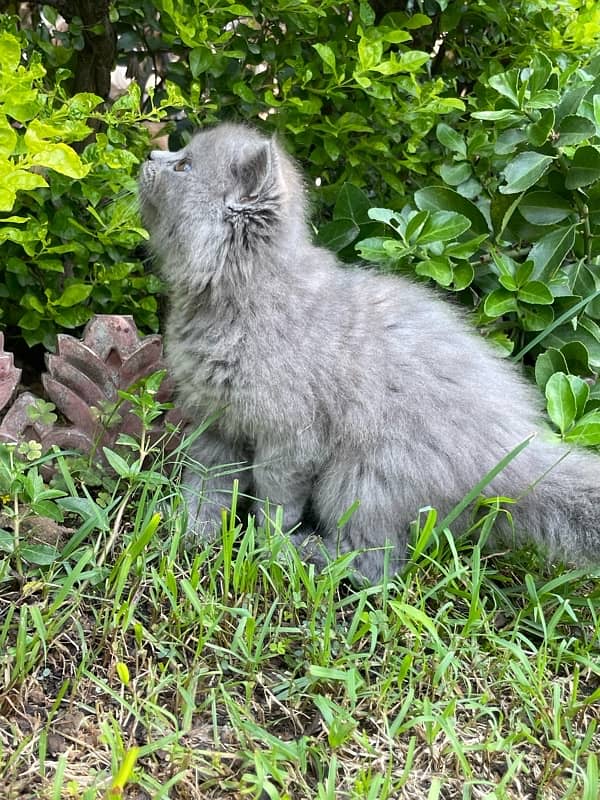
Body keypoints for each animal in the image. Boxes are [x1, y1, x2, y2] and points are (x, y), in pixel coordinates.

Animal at [138, 122, 600, 580]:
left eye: (183, 166)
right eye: (177, 156)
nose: (149, 156)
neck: (236, 299)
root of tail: (509, 452)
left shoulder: (293, 438)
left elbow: (275, 500)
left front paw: (263, 547)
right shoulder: (215, 420)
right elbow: (208, 482)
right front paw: (187, 532)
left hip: (363, 477)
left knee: (375, 561)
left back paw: (307, 556)